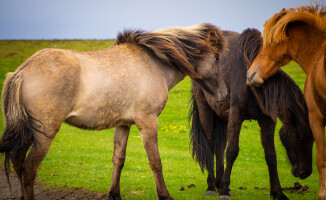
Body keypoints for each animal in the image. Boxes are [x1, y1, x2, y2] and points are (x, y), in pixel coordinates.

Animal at [0, 23, 227, 200]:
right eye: (217, 58)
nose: (224, 94)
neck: (153, 63)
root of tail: (21, 72)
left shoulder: (123, 125)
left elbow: (119, 159)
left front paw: (114, 194)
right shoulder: (148, 123)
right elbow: (155, 162)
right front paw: (164, 195)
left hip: (28, 133)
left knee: (18, 163)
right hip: (44, 133)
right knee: (29, 168)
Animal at [190, 28, 314, 200]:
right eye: (297, 137)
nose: (305, 172)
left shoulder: (267, 120)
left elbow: (271, 155)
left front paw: (278, 193)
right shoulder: (236, 115)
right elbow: (232, 151)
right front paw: (224, 191)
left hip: (222, 116)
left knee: (219, 147)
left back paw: (219, 183)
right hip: (205, 110)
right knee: (211, 145)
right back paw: (212, 187)